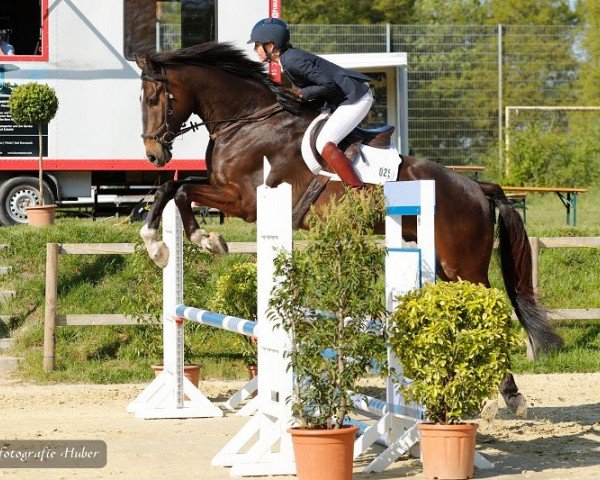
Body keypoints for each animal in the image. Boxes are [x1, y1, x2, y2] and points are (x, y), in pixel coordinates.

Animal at [135, 41, 564, 416]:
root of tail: (478, 187)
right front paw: (165, 243)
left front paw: (196, 240)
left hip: (465, 266)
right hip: (445, 266)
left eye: (154, 99)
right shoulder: (225, 191)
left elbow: (181, 189)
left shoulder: (246, 201)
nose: (154, 155)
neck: (247, 121)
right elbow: (172, 188)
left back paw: (507, 397)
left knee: (491, 311)